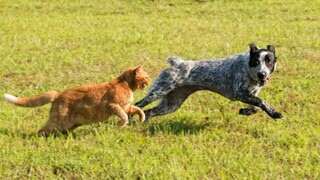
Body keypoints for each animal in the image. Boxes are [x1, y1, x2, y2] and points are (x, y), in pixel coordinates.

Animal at [3, 65, 151, 136]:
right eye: (146, 77)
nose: (150, 81)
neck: (125, 84)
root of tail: (58, 94)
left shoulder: (127, 106)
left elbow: (137, 109)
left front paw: (141, 118)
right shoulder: (113, 105)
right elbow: (124, 116)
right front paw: (120, 124)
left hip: (68, 125)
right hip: (58, 122)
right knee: (42, 130)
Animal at [135, 43, 282, 122]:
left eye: (269, 61)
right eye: (256, 62)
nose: (262, 74)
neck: (247, 68)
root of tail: (177, 63)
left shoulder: (252, 93)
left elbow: (256, 106)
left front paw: (245, 111)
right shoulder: (239, 93)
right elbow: (262, 102)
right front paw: (274, 113)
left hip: (172, 103)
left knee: (149, 112)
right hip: (158, 91)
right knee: (138, 105)